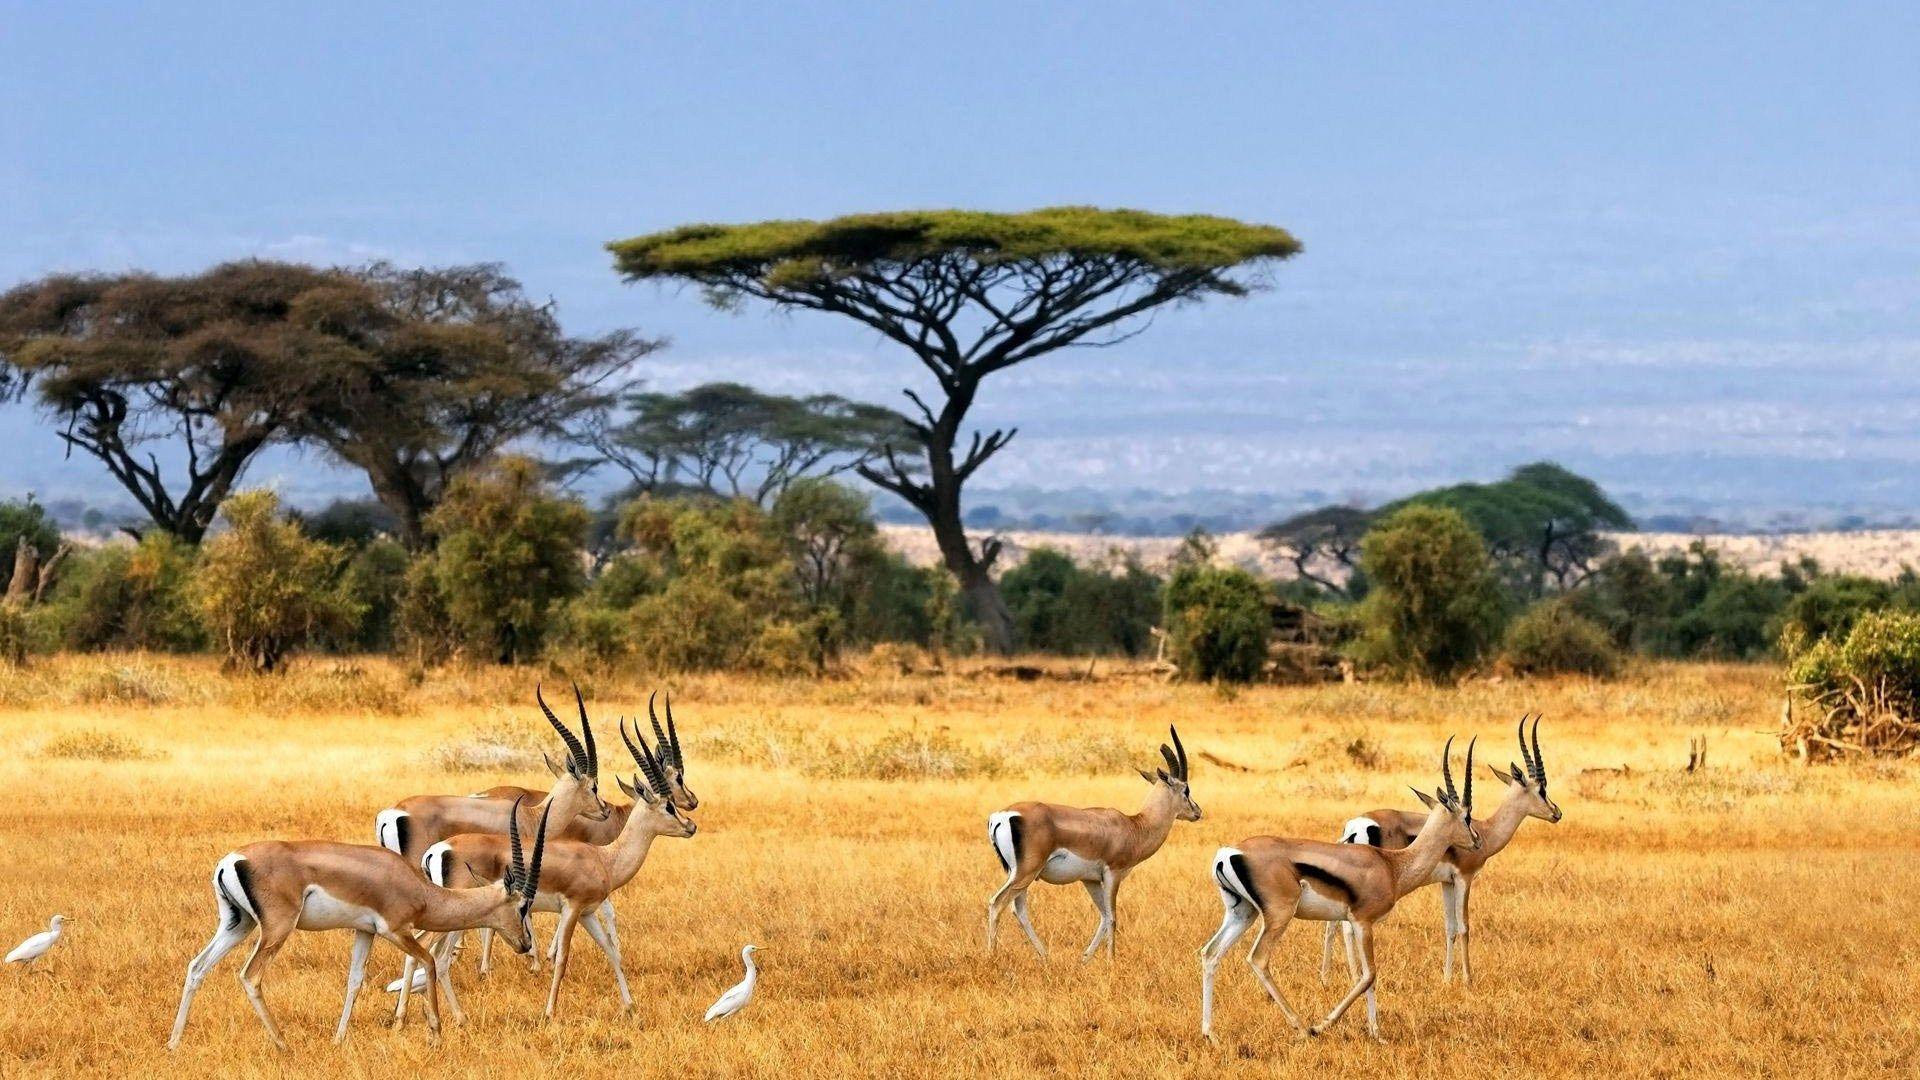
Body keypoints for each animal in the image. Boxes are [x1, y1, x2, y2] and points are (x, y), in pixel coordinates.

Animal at [168, 800, 550, 1051]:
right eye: (522, 906)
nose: (525, 945)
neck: (419, 889)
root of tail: (232, 860)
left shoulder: (364, 932)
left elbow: (354, 981)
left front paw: (339, 1038)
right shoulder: (395, 931)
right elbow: (427, 961)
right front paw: (436, 1034)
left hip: (238, 924)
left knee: (197, 966)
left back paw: (174, 1043)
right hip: (276, 929)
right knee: (250, 975)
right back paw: (282, 1043)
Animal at [409, 717, 696, 1019]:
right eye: (669, 806)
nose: (691, 825)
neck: (605, 858)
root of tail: (438, 850)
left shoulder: (587, 913)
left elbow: (610, 950)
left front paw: (630, 1006)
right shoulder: (571, 909)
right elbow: (562, 957)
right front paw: (549, 1012)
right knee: (439, 957)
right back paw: (458, 1017)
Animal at [986, 726, 1200, 961]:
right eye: (1186, 790)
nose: (1198, 812)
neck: (1134, 826)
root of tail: (1002, 815)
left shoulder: (1090, 880)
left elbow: (1104, 917)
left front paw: (1085, 958)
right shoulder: (1113, 874)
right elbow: (1113, 918)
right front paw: (1111, 961)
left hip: (1019, 875)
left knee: (1019, 909)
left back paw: (1045, 956)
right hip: (1026, 873)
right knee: (997, 903)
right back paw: (992, 956)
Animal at [1200, 738, 1480, 1043]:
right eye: (1467, 816)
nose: (1477, 841)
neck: (1392, 865)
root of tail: (1229, 853)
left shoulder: (1357, 924)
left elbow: (1369, 979)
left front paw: (1375, 1033)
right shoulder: (1362, 922)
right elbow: (1368, 975)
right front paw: (1324, 1024)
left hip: (1242, 914)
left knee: (1210, 954)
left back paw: (1210, 1034)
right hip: (1278, 917)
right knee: (1259, 959)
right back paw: (1302, 1027)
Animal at [1322, 715, 1561, 987]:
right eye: (1542, 790)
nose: (1557, 813)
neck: (1486, 829)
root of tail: (1354, 826)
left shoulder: (1446, 882)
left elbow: (1449, 927)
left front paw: (1447, 978)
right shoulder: (1464, 878)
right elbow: (1464, 926)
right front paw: (1467, 979)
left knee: (1331, 924)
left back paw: (1326, 978)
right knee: (1346, 927)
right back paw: (1353, 976)